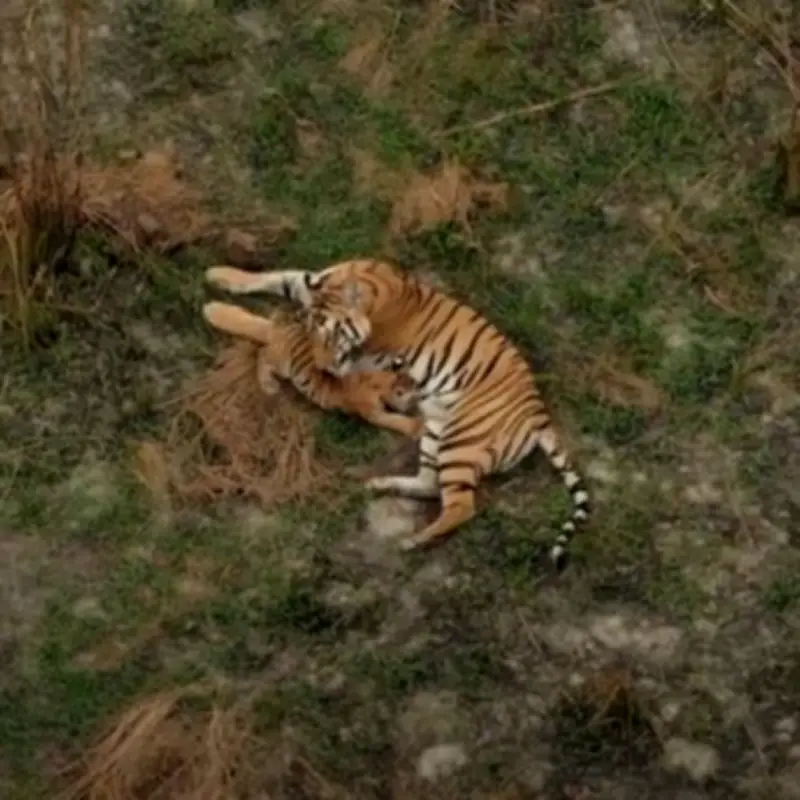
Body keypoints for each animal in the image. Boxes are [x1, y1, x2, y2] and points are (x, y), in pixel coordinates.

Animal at [202, 301, 422, 439]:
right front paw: (416, 427)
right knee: (262, 354)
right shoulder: (373, 413)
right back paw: (269, 385)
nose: (415, 384)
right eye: (407, 393)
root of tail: (274, 331)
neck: (381, 382)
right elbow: (393, 420)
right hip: (281, 363)